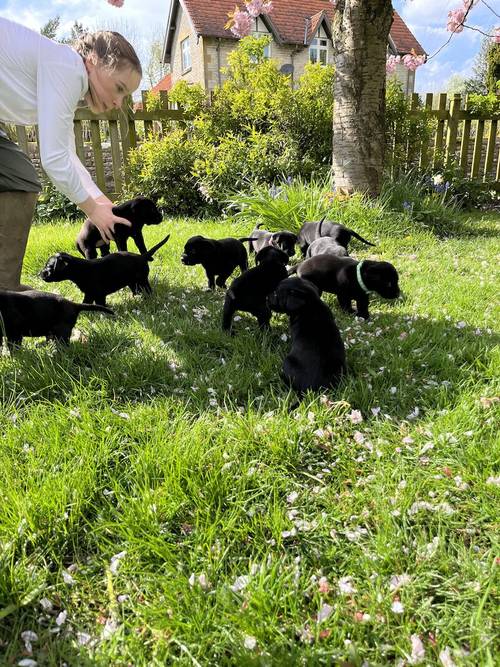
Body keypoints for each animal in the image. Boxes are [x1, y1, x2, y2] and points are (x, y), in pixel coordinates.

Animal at [41, 235, 170, 306]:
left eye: (48, 267)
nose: (39, 274)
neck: (80, 270)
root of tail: (142, 257)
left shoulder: (98, 294)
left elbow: (100, 305)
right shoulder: (89, 294)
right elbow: (86, 303)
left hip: (142, 280)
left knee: (148, 290)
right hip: (132, 282)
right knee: (137, 291)